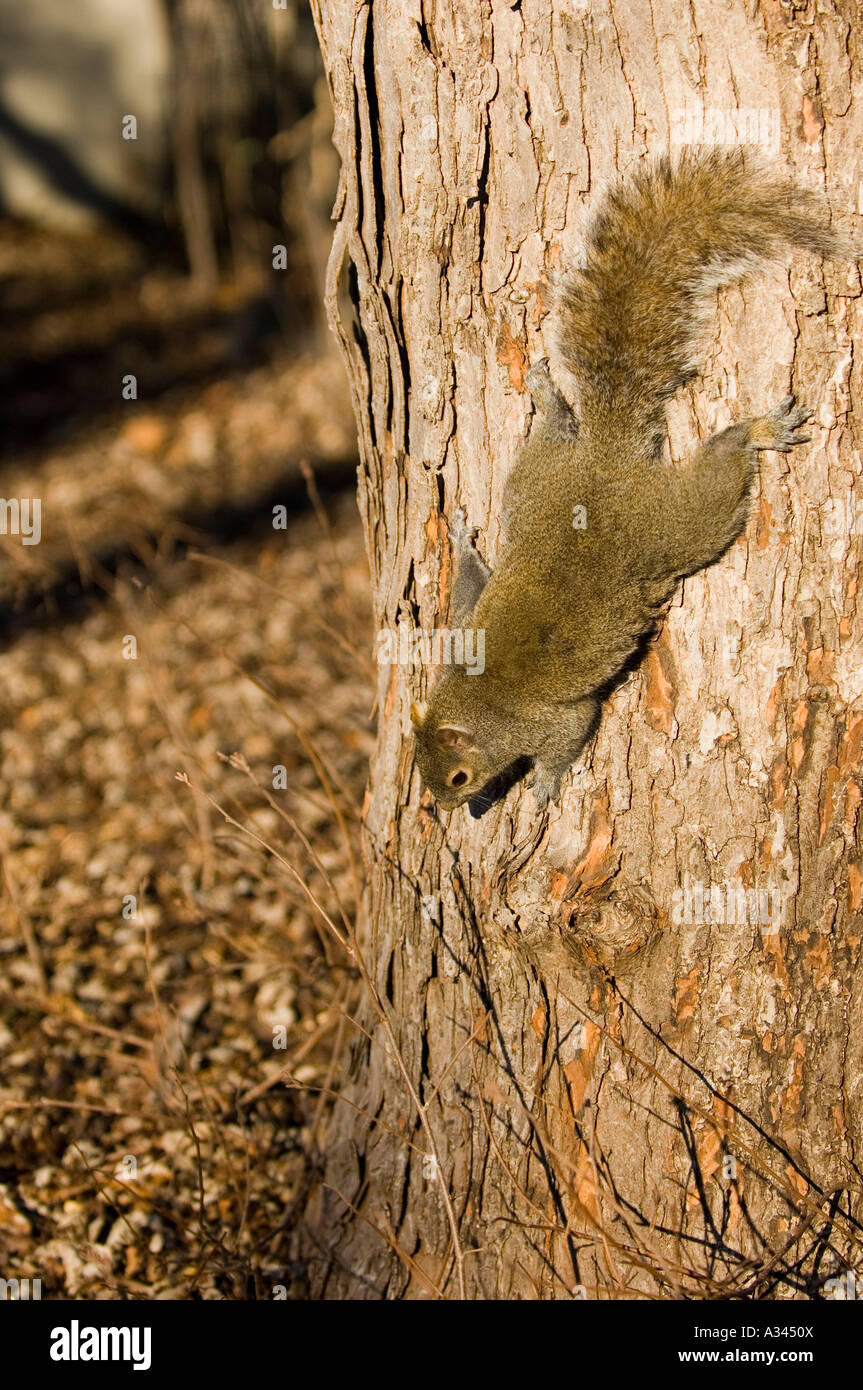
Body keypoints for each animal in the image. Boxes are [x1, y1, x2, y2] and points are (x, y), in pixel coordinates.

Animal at [411, 148, 854, 818]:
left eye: (458, 777)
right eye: (423, 773)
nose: (457, 813)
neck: (479, 700)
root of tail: (610, 459)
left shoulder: (552, 720)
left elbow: (568, 737)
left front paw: (543, 787)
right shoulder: (463, 638)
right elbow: (467, 595)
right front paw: (463, 543)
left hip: (677, 526)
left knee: (718, 472)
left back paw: (756, 431)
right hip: (536, 482)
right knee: (555, 434)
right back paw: (548, 397)